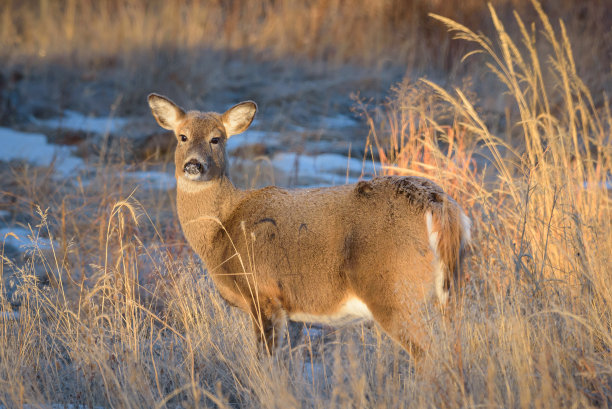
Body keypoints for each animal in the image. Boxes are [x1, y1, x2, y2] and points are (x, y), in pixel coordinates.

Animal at [147, 94, 468, 358]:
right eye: (182, 136)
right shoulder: (292, 313)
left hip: (394, 290)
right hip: (448, 289)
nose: (194, 165)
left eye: (216, 139)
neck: (222, 230)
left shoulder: (263, 293)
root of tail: (439, 205)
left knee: (430, 357)